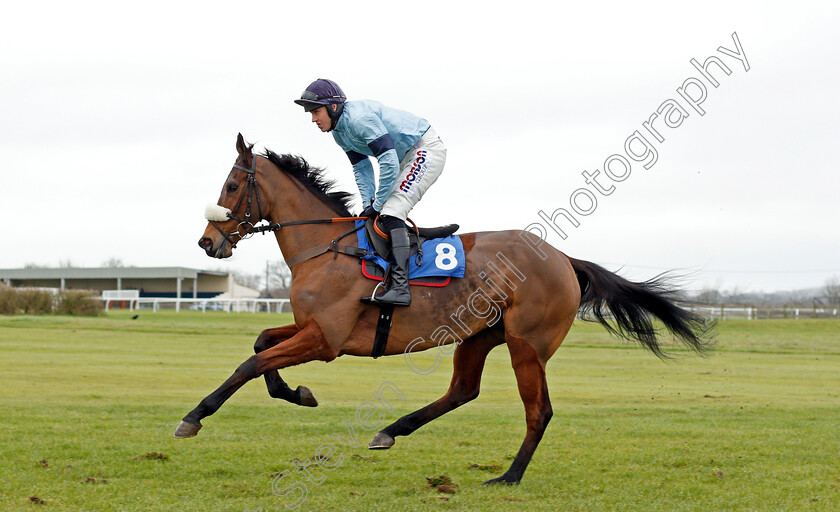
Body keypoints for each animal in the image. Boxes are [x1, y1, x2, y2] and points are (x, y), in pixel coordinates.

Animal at [176, 133, 708, 484]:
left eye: (230, 187)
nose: (207, 243)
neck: (325, 248)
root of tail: (562, 258)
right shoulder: (311, 329)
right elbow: (261, 343)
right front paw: (297, 393)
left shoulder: (325, 341)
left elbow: (249, 363)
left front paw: (195, 416)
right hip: (479, 335)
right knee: (462, 390)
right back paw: (391, 430)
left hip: (527, 344)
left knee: (538, 410)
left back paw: (509, 476)